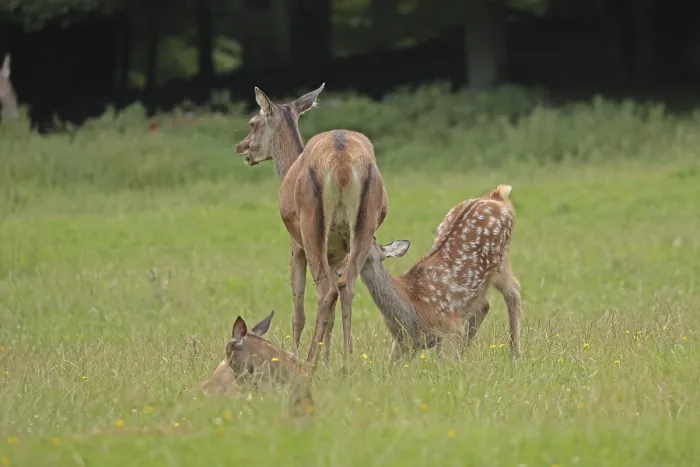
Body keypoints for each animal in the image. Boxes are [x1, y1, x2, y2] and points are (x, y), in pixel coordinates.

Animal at [235, 85, 389, 366]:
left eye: (252, 122)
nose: (241, 147)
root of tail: (341, 162)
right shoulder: (337, 254)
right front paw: (328, 359)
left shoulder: (295, 246)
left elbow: (298, 311)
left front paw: (296, 354)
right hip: (364, 226)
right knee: (345, 287)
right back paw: (347, 362)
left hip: (310, 226)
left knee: (326, 291)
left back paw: (309, 361)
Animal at [335, 184, 522, 361]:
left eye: (371, 239)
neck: (410, 308)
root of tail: (496, 197)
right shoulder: (404, 341)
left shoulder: (448, 329)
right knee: (485, 305)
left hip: (500, 261)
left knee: (513, 292)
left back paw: (514, 355)